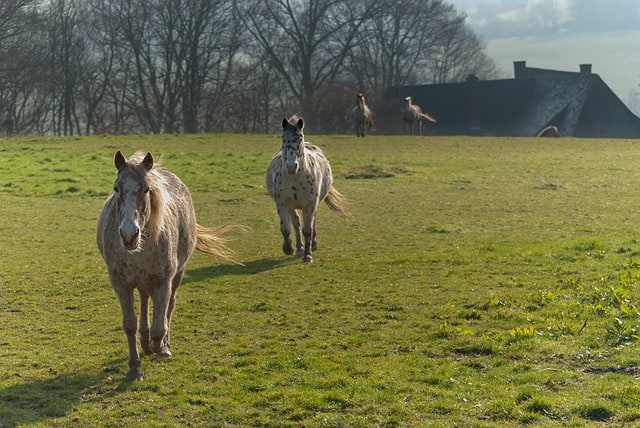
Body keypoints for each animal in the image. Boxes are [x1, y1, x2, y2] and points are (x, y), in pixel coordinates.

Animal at [95, 152, 235, 380]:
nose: (128, 234)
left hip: (175, 276)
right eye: (116, 188)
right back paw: (144, 341)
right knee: (144, 303)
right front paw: (134, 367)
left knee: (169, 308)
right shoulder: (120, 282)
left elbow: (160, 325)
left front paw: (159, 348)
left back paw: (161, 345)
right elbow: (130, 324)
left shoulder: (164, 281)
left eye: (146, 189)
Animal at [264, 117, 348, 264]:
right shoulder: (283, 205)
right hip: (293, 207)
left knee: (312, 222)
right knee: (296, 223)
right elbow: (286, 228)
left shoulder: (310, 205)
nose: (291, 166)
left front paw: (308, 255)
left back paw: (312, 245)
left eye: (300, 139)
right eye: (283, 139)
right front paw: (288, 248)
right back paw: (299, 248)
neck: (296, 179)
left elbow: (308, 230)